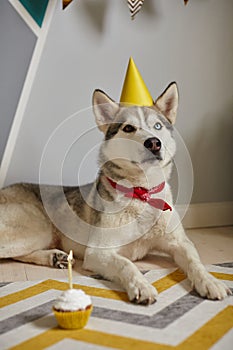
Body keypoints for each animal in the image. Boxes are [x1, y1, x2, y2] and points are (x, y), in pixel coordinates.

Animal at [0, 82, 230, 304]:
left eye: (157, 126)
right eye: (128, 128)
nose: (154, 142)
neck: (141, 194)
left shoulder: (180, 243)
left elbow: (195, 261)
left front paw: (210, 281)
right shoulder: (98, 251)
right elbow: (126, 264)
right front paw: (142, 286)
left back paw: (55, 257)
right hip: (38, 230)